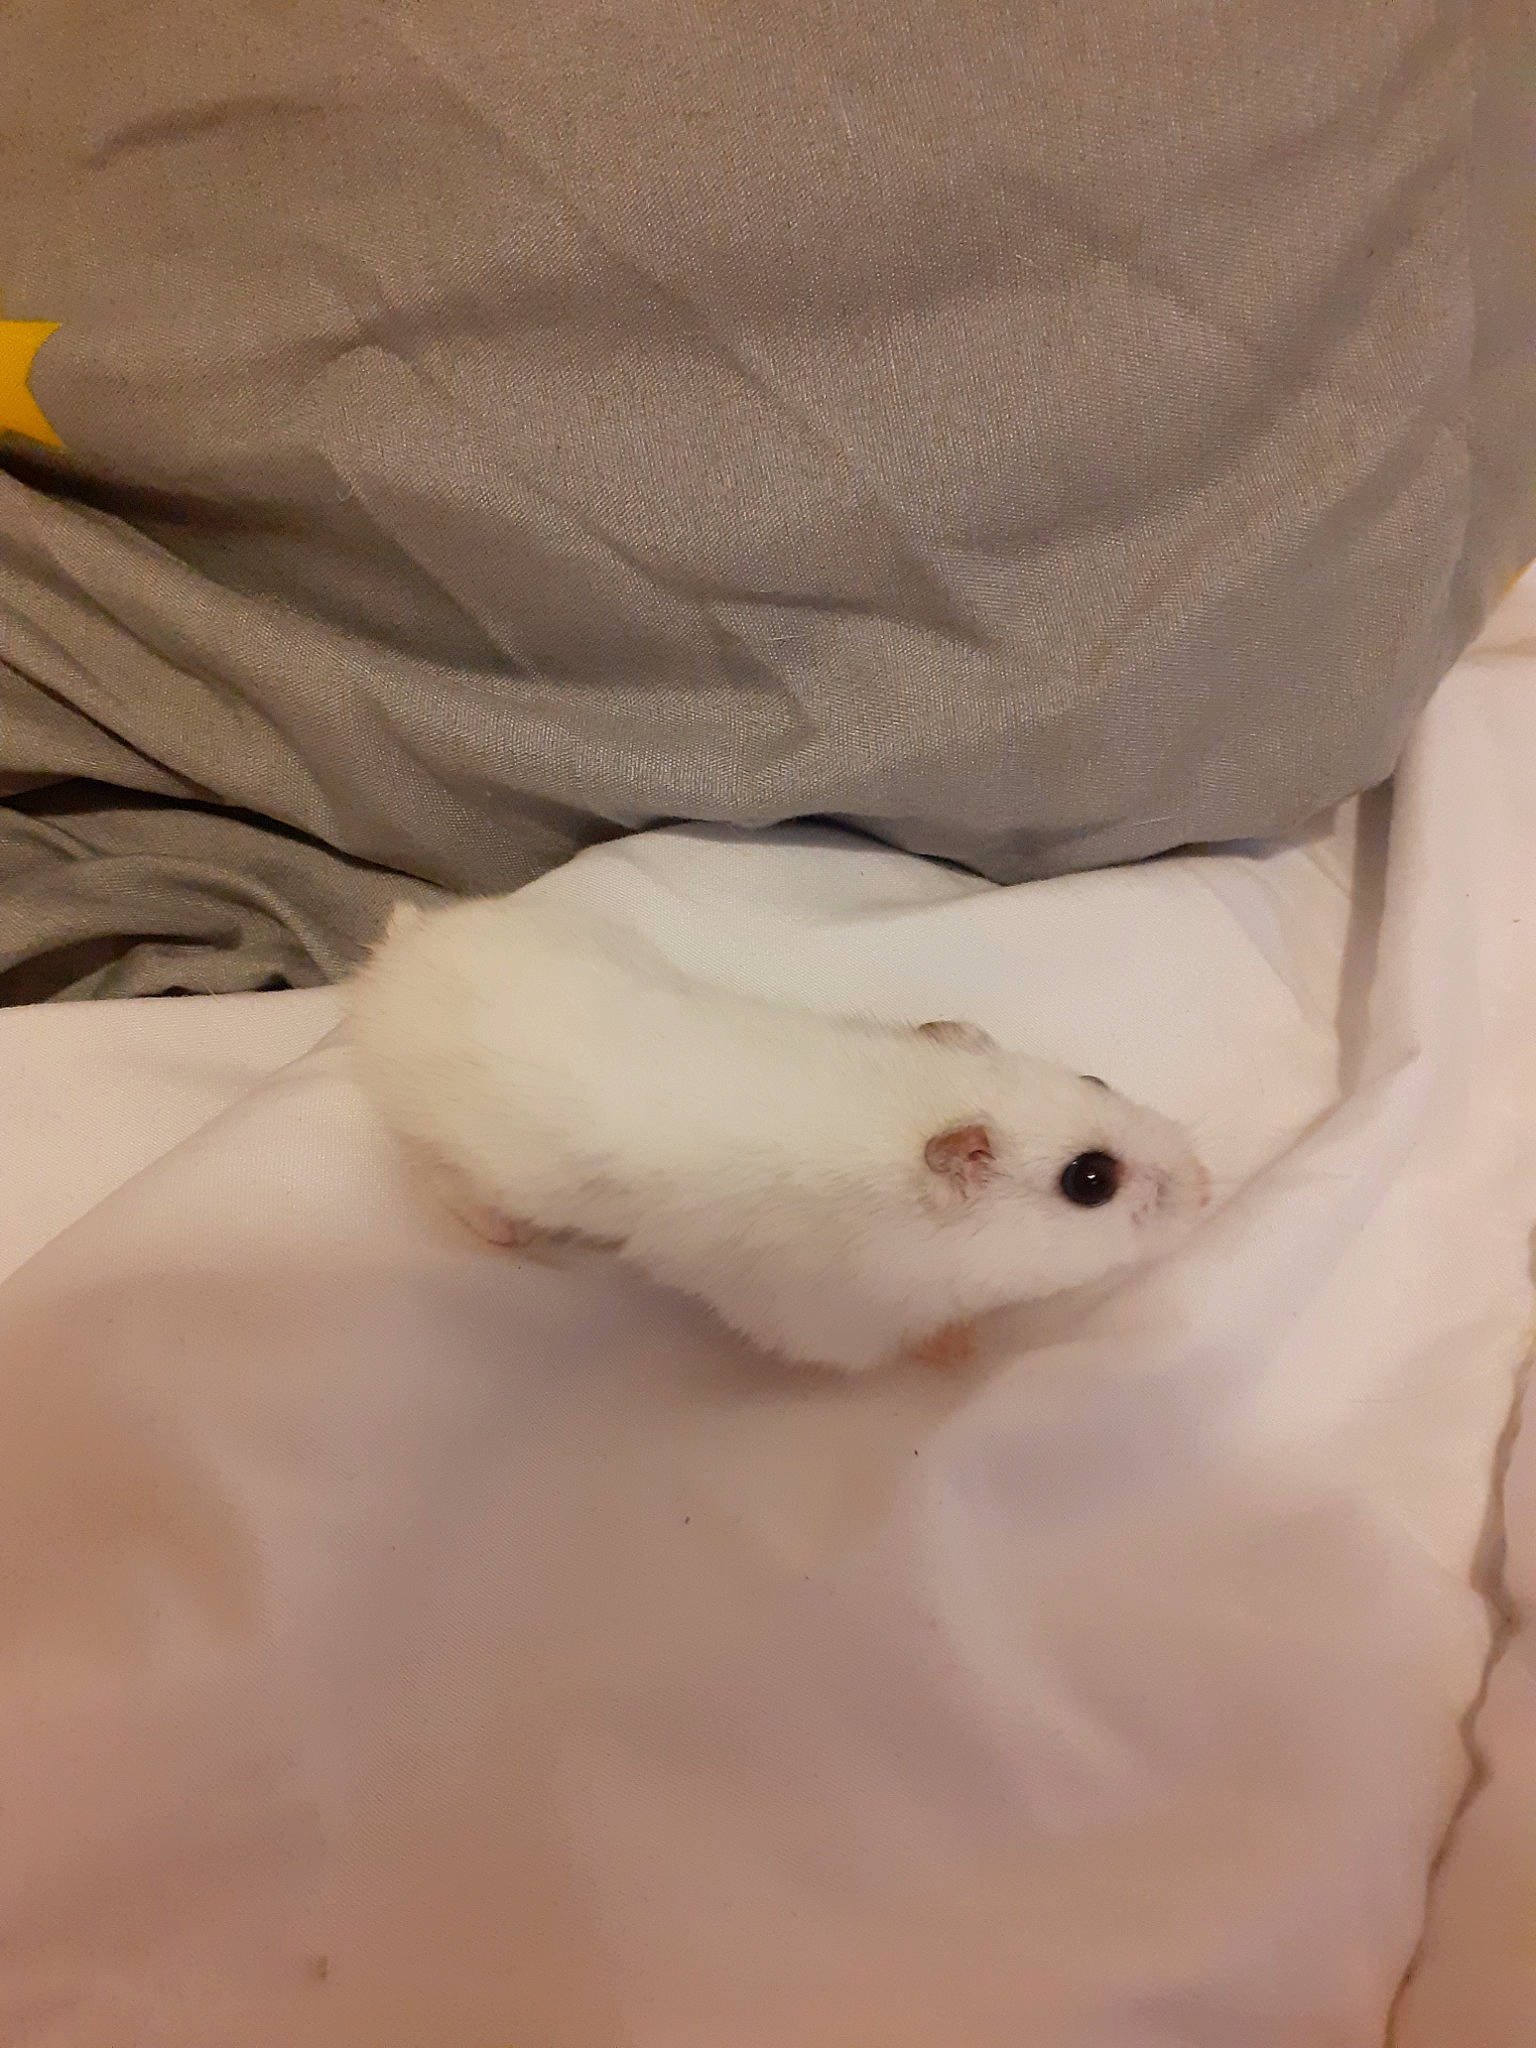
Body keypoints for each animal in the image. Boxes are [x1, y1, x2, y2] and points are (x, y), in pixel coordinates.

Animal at [347, 892, 1209, 1373]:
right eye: (1090, 1181)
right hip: (447, 1154)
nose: (1207, 1187)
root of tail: (400, 952)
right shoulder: (828, 1321)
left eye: (1097, 1080)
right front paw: (964, 1352)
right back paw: (505, 1236)